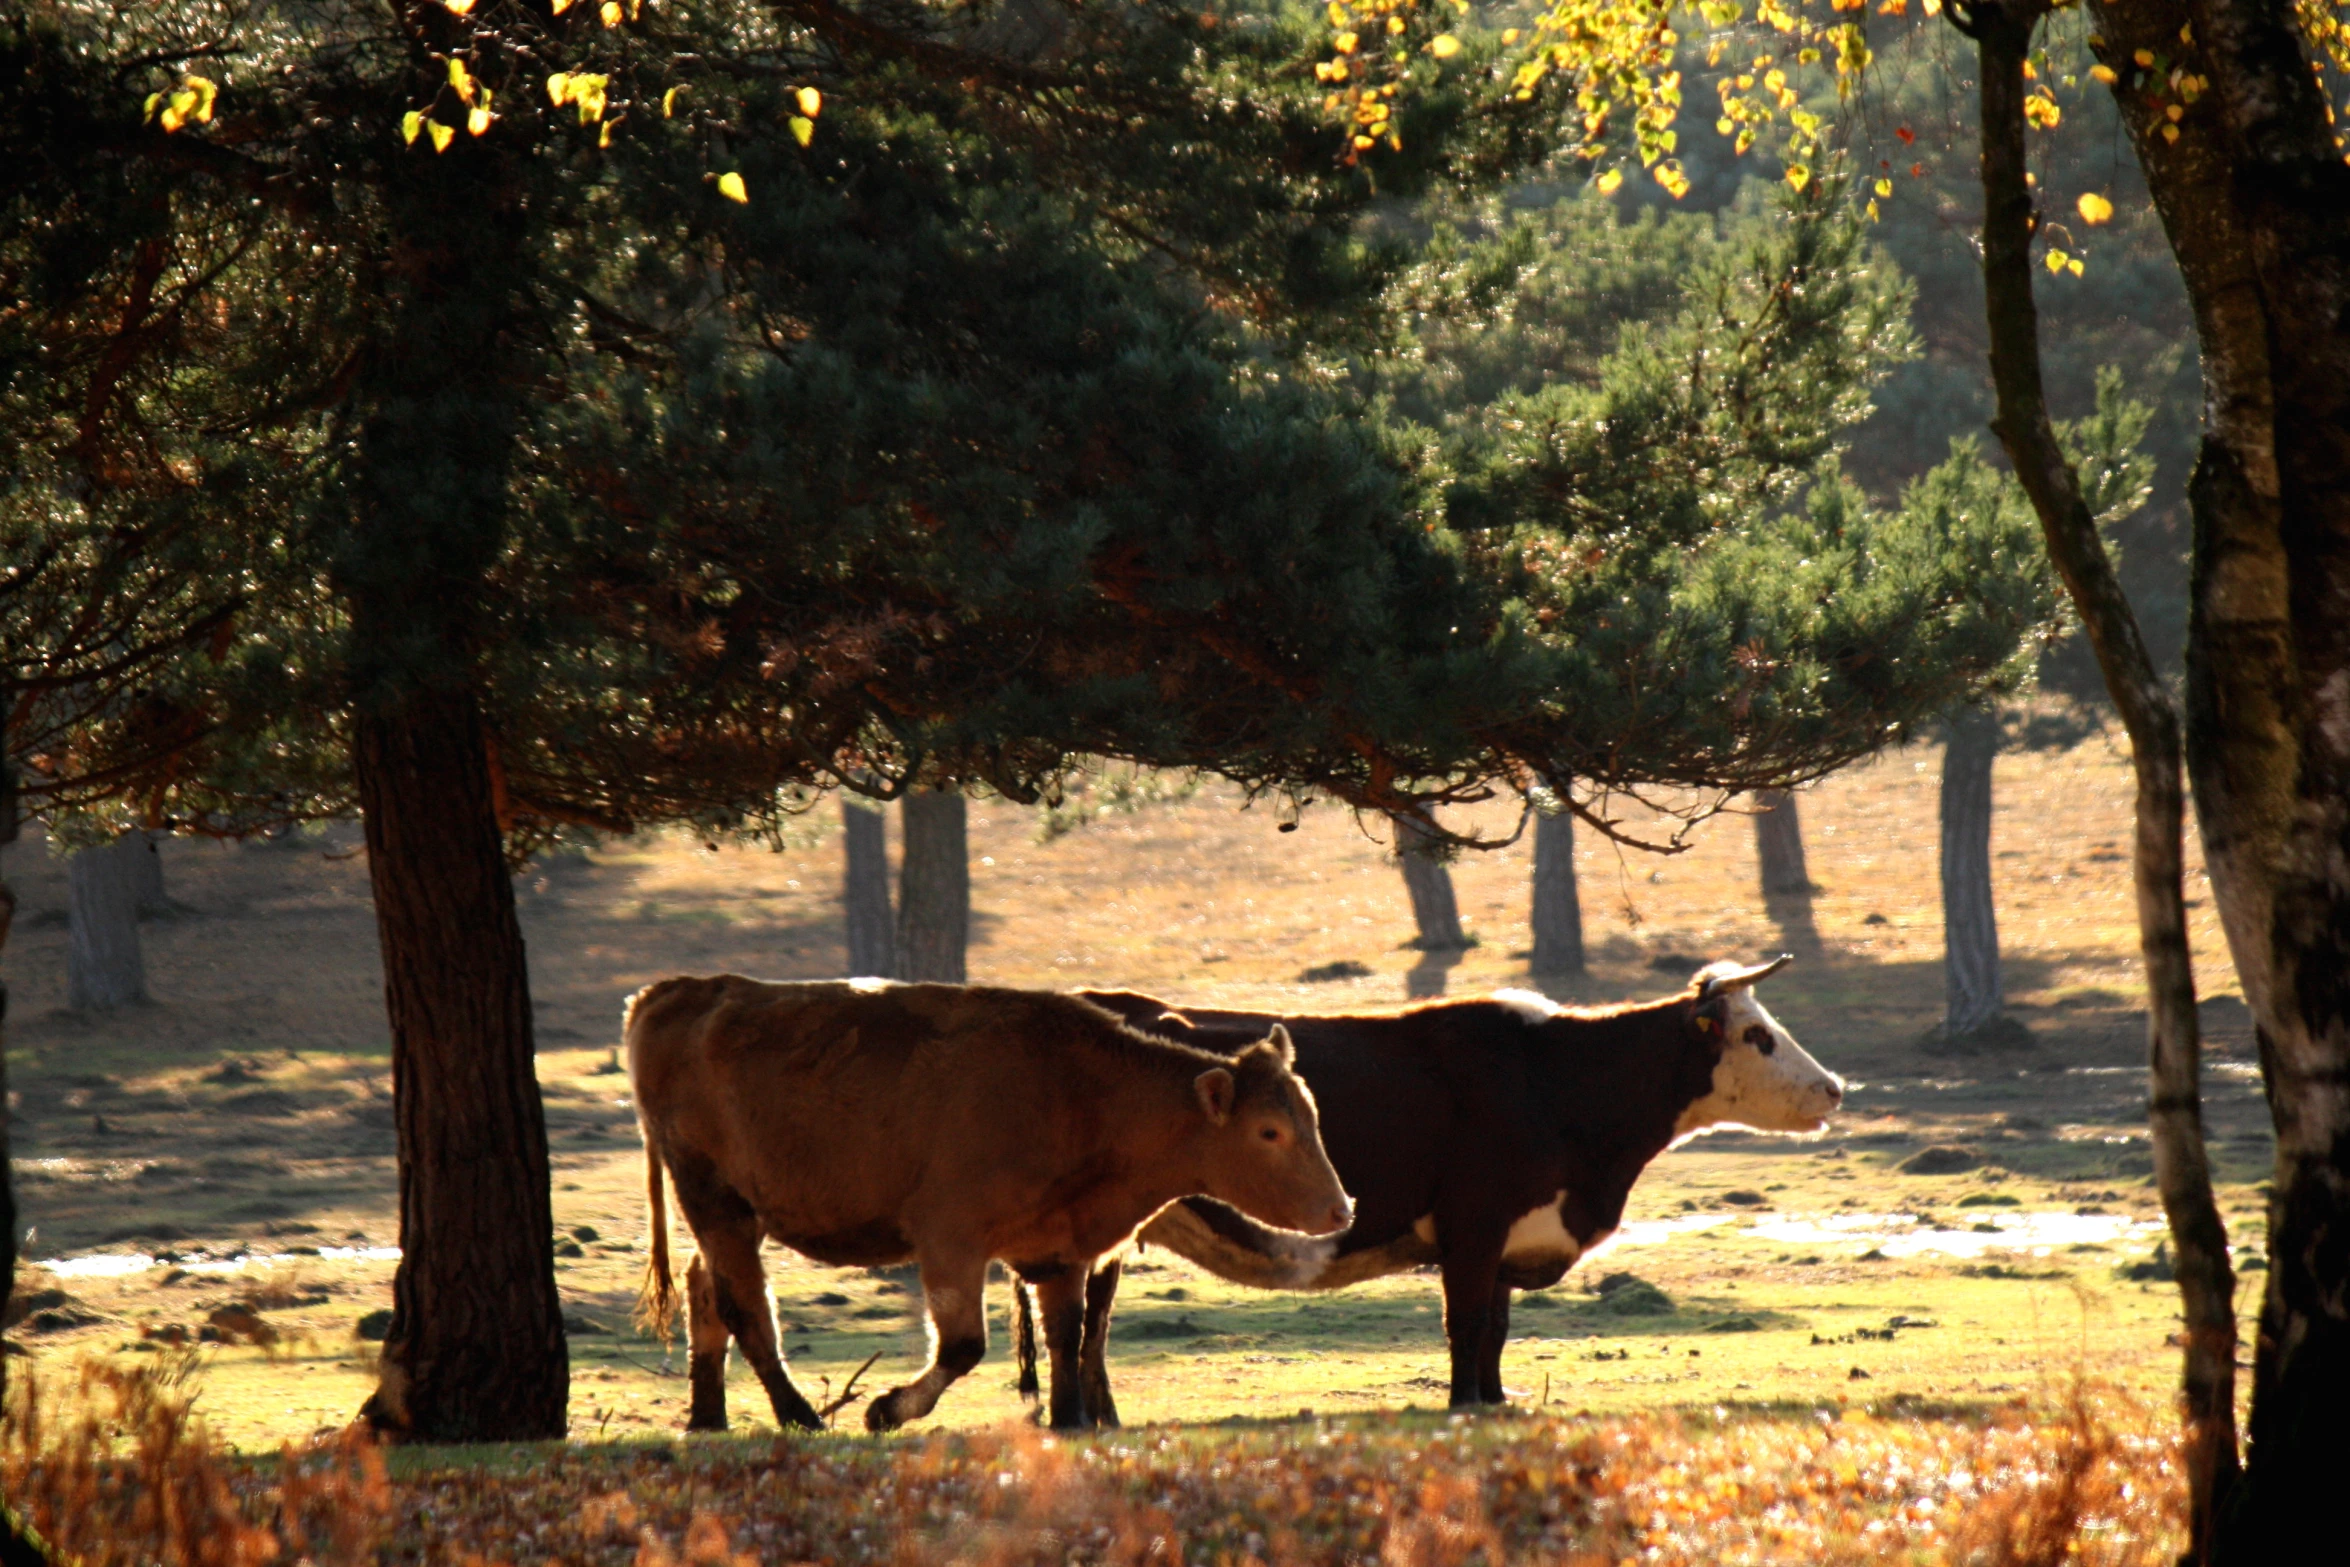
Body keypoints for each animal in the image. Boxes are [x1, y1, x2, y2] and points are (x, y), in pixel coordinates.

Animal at [625, 982, 1353, 1437]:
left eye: (1313, 1114)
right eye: (1269, 1131)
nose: (1340, 1209)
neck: (1083, 1094)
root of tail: (673, 993)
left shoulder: (1063, 1250)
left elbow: (1067, 1335)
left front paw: (1069, 1418)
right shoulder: (951, 1241)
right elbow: (964, 1344)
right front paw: (886, 1410)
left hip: (738, 1215)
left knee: (707, 1291)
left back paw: (708, 1416)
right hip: (713, 1201)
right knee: (746, 1307)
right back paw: (801, 1415)